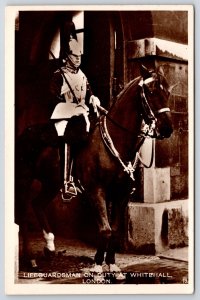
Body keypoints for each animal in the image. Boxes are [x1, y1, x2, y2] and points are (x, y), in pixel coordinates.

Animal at [14, 65, 173, 272]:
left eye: (167, 92)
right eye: (151, 91)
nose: (167, 128)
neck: (116, 140)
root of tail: (25, 132)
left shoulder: (121, 194)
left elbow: (114, 230)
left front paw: (112, 264)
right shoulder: (96, 191)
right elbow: (105, 230)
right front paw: (97, 265)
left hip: (51, 183)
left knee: (38, 204)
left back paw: (49, 246)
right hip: (24, 180)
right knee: (23, 214)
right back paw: (30, 258)